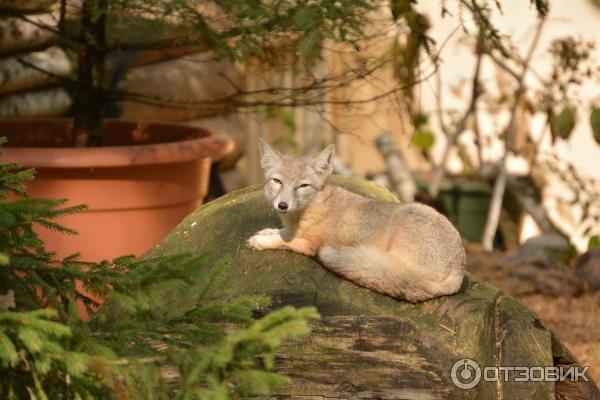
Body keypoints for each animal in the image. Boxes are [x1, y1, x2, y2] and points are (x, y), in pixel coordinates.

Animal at [246, 139, 466, 302]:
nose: (282, 205)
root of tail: (459, 268)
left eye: (303, 186)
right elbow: (282, 233)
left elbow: (284, 241)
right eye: (277, 181)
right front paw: (267, 231)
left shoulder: (309, 244)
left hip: (408, 219)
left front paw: (262, 241)